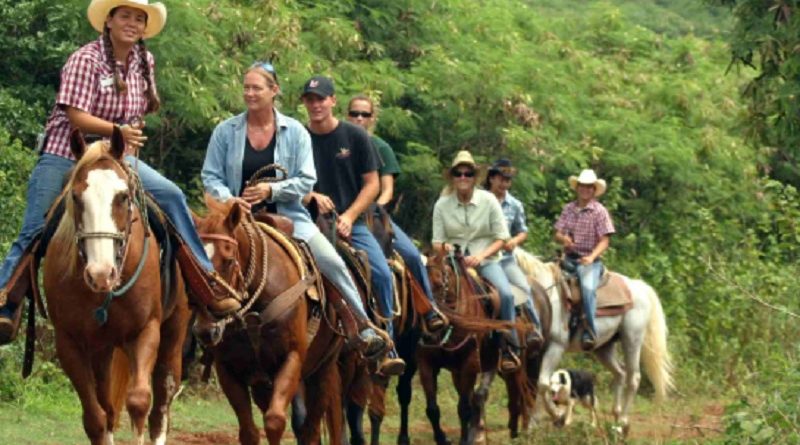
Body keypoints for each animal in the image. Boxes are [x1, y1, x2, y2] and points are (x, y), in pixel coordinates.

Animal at [44, 127, 192, 444]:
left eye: (123, 196)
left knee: (161, 404)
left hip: (174, 332)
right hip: (103, 349)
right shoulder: (69, 342)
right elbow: (96, 418)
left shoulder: (145, 330)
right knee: (108, 408)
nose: (101, 274)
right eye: (75, 197)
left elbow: (139, 402)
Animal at [196, 200, 344, 444]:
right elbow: (249, 431)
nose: (207, 330)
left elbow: (275, 421)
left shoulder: (292, 358)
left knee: (312, 429)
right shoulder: (228, 369)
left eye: (229, 260)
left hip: (324, 369)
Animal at [512, 248, 676, 432]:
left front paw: (540, 420)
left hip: (632, 339)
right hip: (604, 347)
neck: (546, 295)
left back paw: (623, 421)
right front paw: (552, 417)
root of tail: (639, 287)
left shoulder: (556, 347)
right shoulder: (536, 351)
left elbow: (542, 384)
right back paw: (616, 414)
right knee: (620, 373)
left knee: (633, 377)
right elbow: (537, 384)